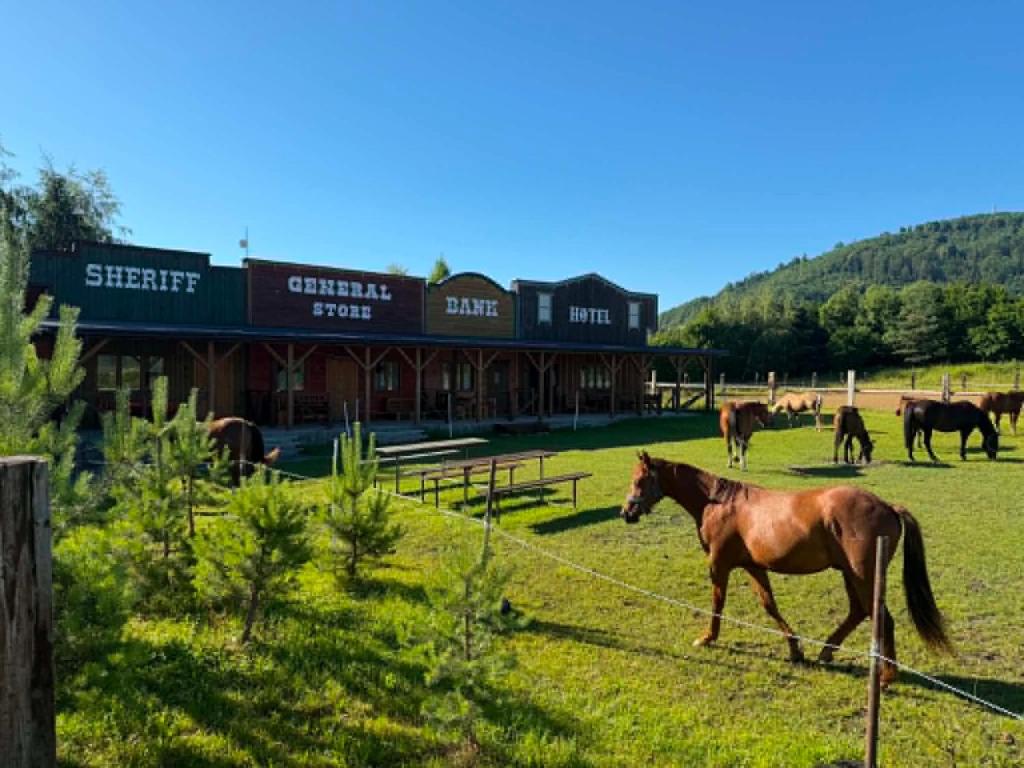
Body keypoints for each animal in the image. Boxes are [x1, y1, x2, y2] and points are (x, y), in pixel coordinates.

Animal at [621, 452, 951, 686]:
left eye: (639, 481)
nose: (626, 512)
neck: (719, 503)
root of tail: (888, 507)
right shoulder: (753, 567)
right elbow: (770, 606)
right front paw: (795, 648)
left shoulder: (719, 565)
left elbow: (718, 603)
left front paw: (708, 638)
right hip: (849, 574)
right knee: (859, 612)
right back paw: (826, 651)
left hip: (863, 576)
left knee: (882, 618)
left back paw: (886, 676)